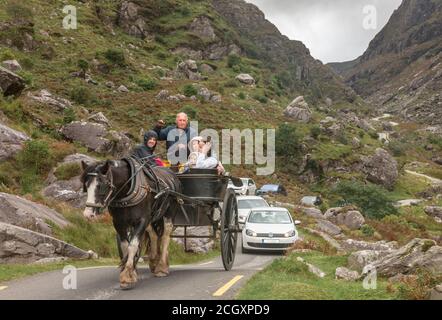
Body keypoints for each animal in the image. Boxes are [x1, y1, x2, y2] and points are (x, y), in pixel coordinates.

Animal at [80, 159, 180, 288]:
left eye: (101, 186)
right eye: (86, 186)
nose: (88, 214)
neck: (126, 192)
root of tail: (171, 173)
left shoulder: (142, 220)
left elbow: (133, 245)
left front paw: (127, 275)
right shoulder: (119, 222)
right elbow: (125, 246)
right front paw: (129, 270)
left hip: (168, 214)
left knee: (165, 237)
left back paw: (161, 267)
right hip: (151, 218)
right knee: (153, 234)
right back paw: (153, 261)